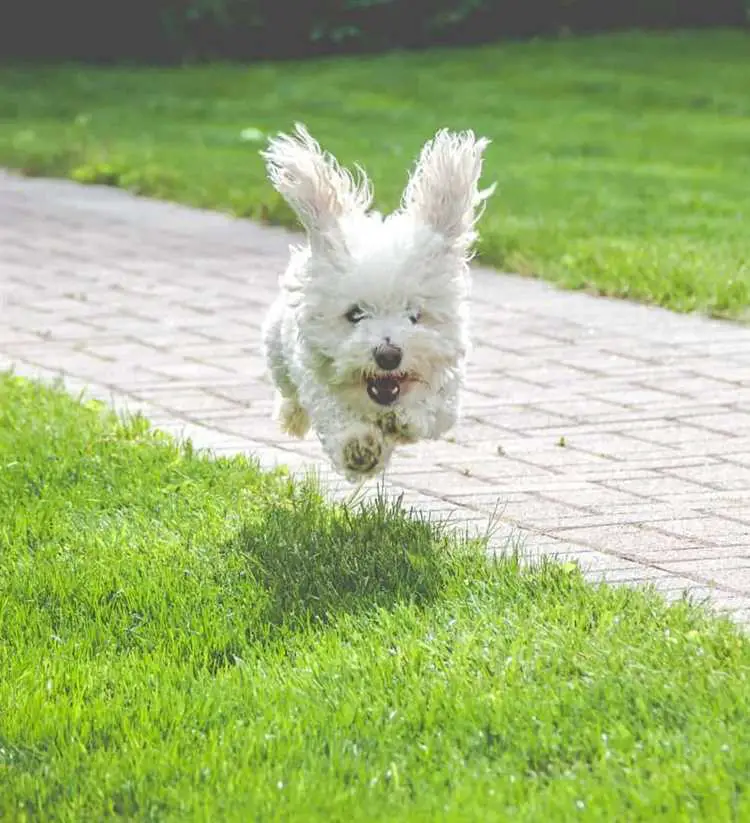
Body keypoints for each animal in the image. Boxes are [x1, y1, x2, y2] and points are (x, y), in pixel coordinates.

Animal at [262, 123, 496, 482]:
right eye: (355, 314)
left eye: (415, 315)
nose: (388, 355)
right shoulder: (316, 380)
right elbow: (334, 412)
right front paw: (359, 446)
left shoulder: (448, 391)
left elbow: (430, 408)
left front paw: (407, 418)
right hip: (276, 348)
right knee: (288, 391)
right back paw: (292, 417)